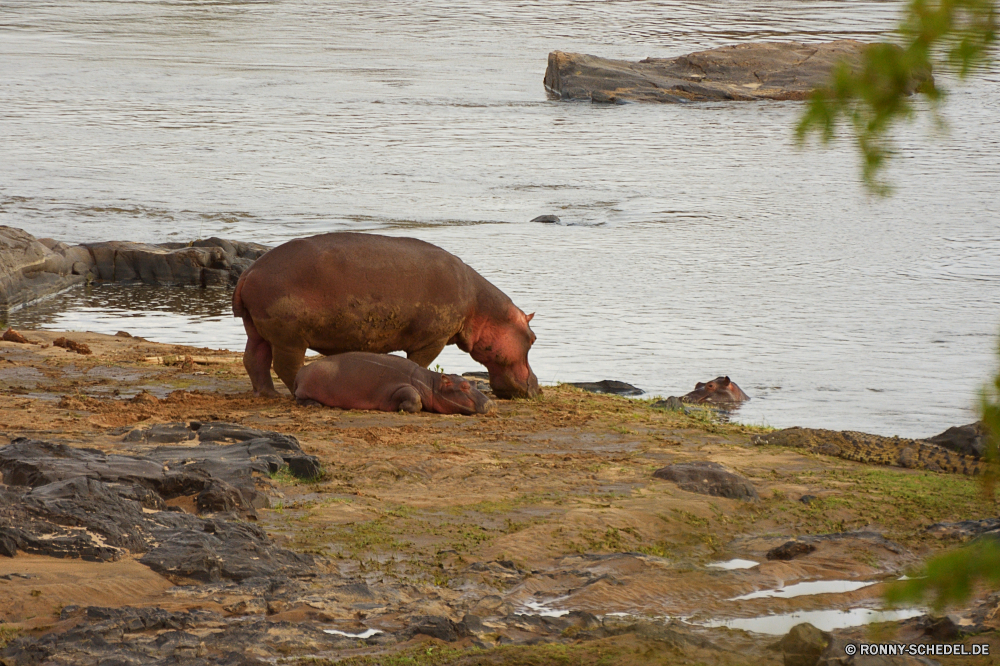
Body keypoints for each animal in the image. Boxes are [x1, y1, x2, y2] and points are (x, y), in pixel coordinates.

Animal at [232, 233, 540, 400]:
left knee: (254, 359)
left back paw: (267, 394)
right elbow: (419, 362)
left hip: (255, 329)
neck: (482, 308)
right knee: (286, 366)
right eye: (533, 338)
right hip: (289, 337)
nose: (538, 387)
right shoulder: (433, 339)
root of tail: (250, 272)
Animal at [292, 350, 496, 412]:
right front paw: (402, 407)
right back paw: (314, 405)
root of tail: (301, 371)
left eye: (473, 383)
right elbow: (414, 397)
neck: (430, 383)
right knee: (299, 398)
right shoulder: (398, 387)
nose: (490, 403)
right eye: (463, 386)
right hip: (307, 388)